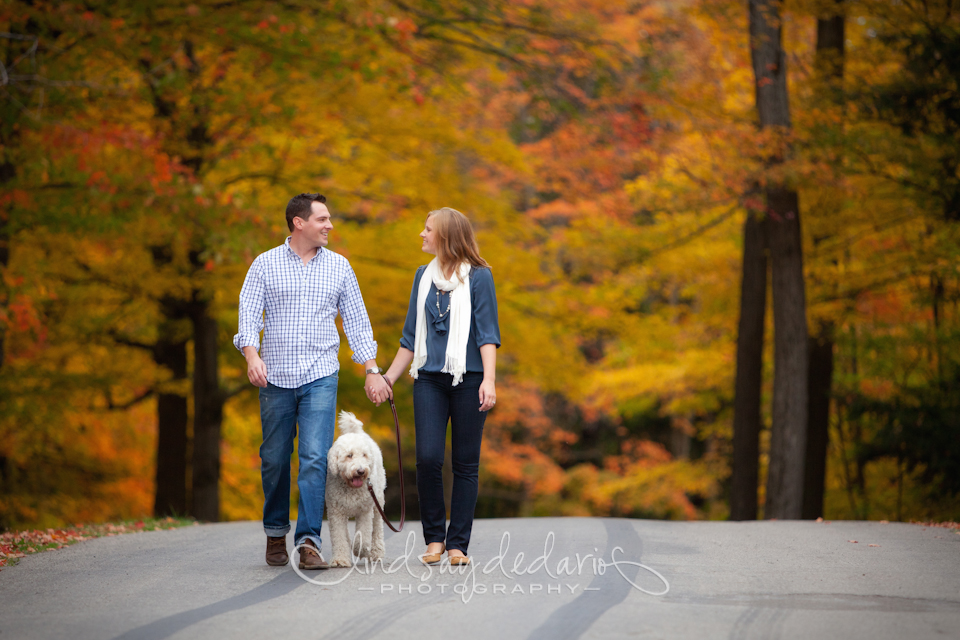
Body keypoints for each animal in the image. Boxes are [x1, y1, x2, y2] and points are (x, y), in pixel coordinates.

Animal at [326, 410, 386, 564]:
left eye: (364, 455)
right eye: (349, 455)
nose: (361, 471)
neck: (351, 488)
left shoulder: (365, 511)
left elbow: (363, 536)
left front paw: (360, 550)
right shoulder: (336, 513)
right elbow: (339, 536)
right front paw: (340, 559)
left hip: (378, 500)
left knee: (377, 527)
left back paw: (376, 552)